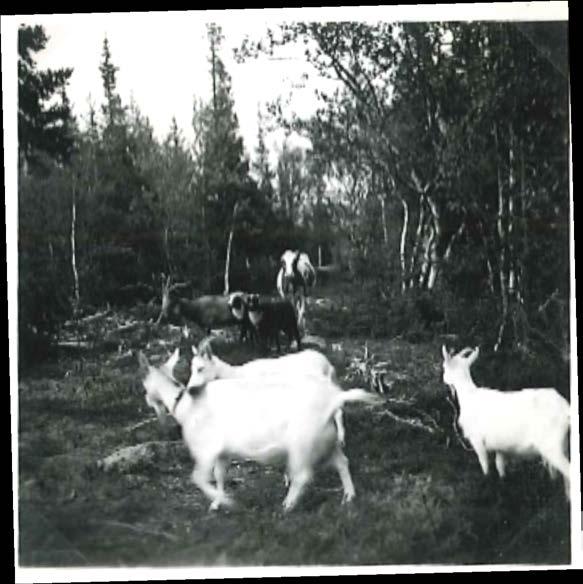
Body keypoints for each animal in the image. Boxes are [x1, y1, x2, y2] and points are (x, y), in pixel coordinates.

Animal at [442, 344, 572, 500]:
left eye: (444, 366)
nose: (444, 379)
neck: (470, 396)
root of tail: (566, 410)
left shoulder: (477, 441)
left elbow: (485, 465)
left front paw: (487, 485)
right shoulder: (500, 447)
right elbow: (500, 467)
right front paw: (502, 488)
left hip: (551, 446)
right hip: (563, 444)